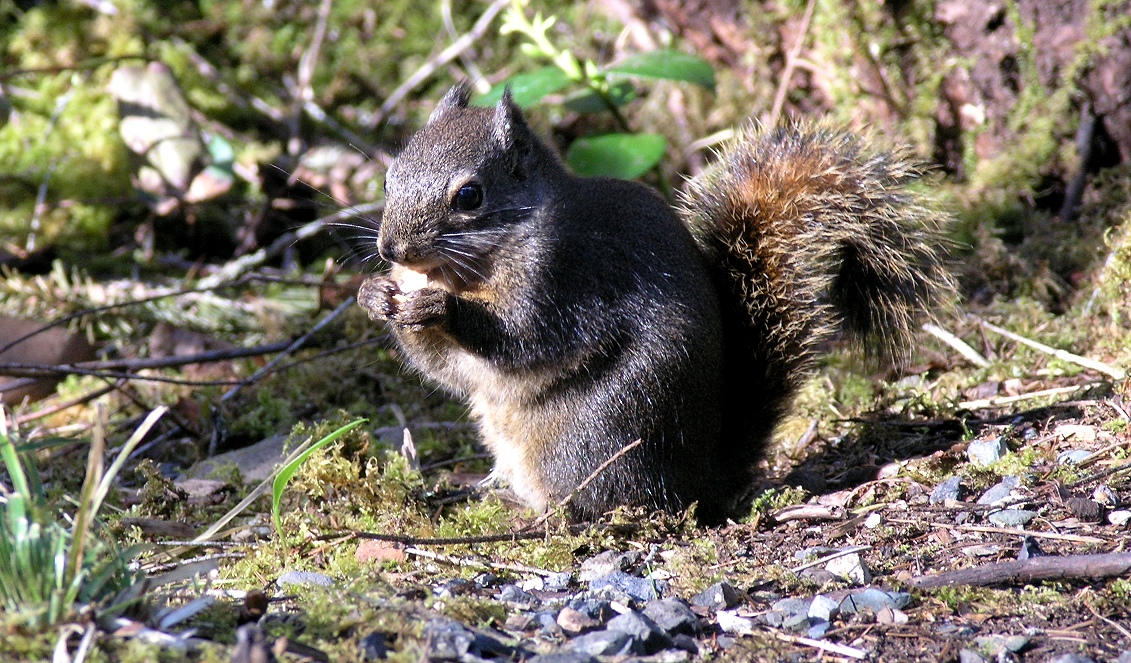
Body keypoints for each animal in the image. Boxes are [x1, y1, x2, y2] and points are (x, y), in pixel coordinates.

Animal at [358, 83, 954, 524]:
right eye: (388, 178)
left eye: (470, 196)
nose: (391, 250)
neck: (467, 267)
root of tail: (704, 480)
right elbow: (445, 369)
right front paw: (374, 295)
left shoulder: (563, 280)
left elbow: (524, 340)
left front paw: (439, 310)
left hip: (593, 437)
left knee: (619, 501)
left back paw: (548, 516)